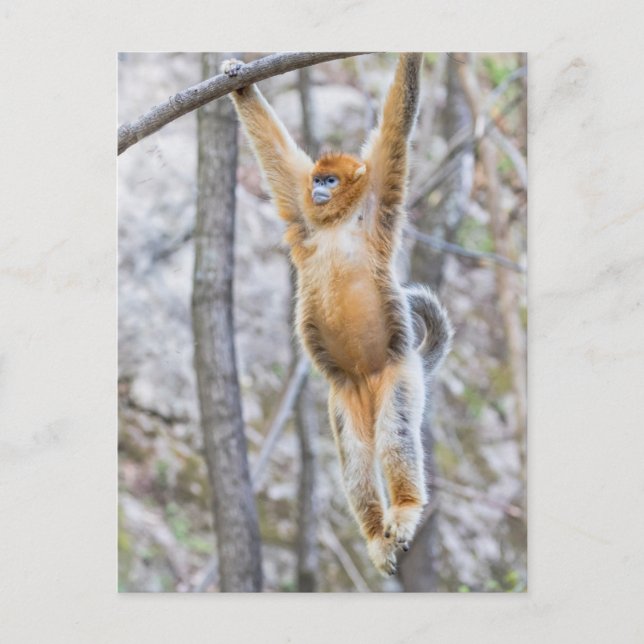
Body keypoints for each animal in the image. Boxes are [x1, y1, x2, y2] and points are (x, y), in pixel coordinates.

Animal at [222, 54, 453, 576]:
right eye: (318, 179)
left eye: (332, 178)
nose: (321, 189)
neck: (337, 220)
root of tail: (367, 377)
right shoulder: (302, 209)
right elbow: (275, 154)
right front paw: (238, 79)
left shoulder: (382, 184)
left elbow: (398, 121)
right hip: (344, 395)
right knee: (356, 458)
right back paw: (375, 536)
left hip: (400, 374)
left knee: (395, 434)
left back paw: (405, 510)